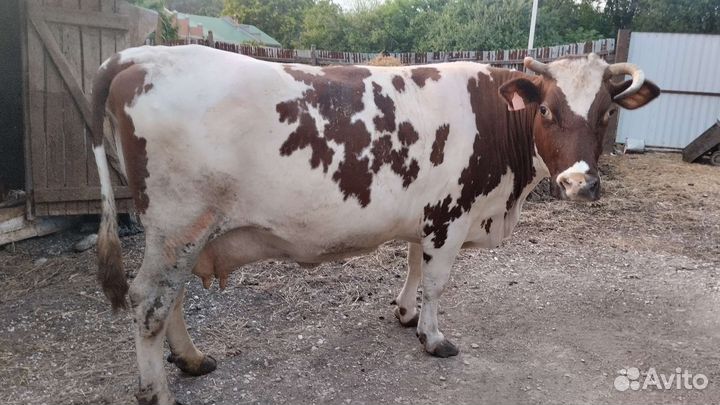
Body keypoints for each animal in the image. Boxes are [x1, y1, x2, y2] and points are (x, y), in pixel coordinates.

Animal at [90, 45, 659, 404]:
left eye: (606, 113)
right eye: (548, 110)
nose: (580, 184)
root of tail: (140, 55)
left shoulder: (428, 213)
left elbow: (412, 266)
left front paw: (406, 314)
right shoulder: (451, 215)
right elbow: (436, 281)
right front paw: (433, 336)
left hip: (186, 232)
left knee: (172, 297)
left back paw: (191, 359)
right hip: (177, 225)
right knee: (150, 301)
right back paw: (157, 390)